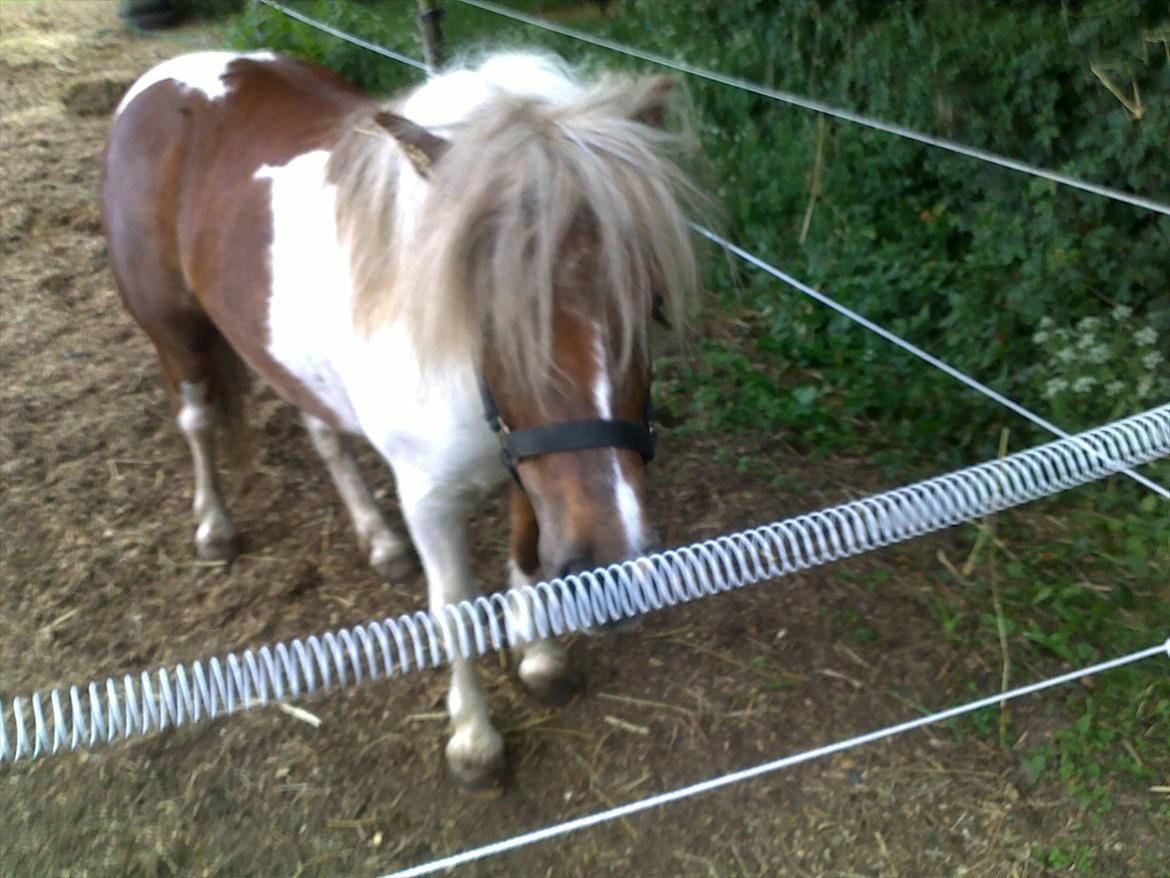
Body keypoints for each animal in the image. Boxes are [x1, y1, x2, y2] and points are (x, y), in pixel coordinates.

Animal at [102, 51, 702, 786]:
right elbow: (455, 610)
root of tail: (163, 76)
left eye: (653, 304)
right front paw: (473, 739)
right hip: (177, 337)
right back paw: (214, 527)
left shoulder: (529, 470)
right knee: (197, 423)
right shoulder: (432, 499)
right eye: (488, 315)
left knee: (322, 432)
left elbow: (526, 560)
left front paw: (539, 659)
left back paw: (379, 540)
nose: (613, 567)